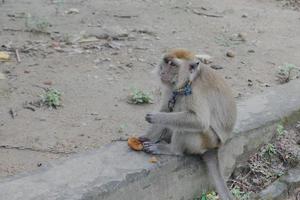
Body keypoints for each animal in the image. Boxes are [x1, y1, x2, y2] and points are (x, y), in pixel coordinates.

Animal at [140, 48, 237, 200]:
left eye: (173, 65)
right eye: (165, 62)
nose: (162, 72)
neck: (188, 82)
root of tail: (216, 147)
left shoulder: (196, 93)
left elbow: (199, 121)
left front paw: (156, 117)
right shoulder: (172, 88)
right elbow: (166, 108)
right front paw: (148, 136)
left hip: (207, 140)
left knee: (187, 126)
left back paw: (171, 149)